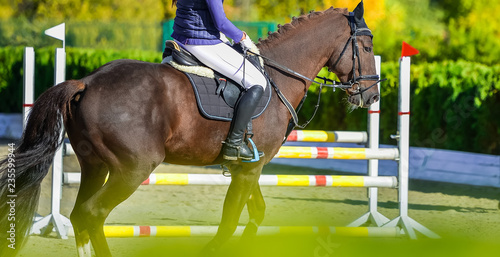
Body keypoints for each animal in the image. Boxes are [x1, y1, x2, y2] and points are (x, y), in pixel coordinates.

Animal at [0, 2, 378, 256]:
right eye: (366, 47)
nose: (372, 95)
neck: (278, 76)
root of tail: (88, 82)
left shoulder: (249, 167)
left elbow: (255, 214)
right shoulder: (248, 170)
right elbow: (228, 222)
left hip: (95, 166)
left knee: (81, 216)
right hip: (132, 169)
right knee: (93, 214)